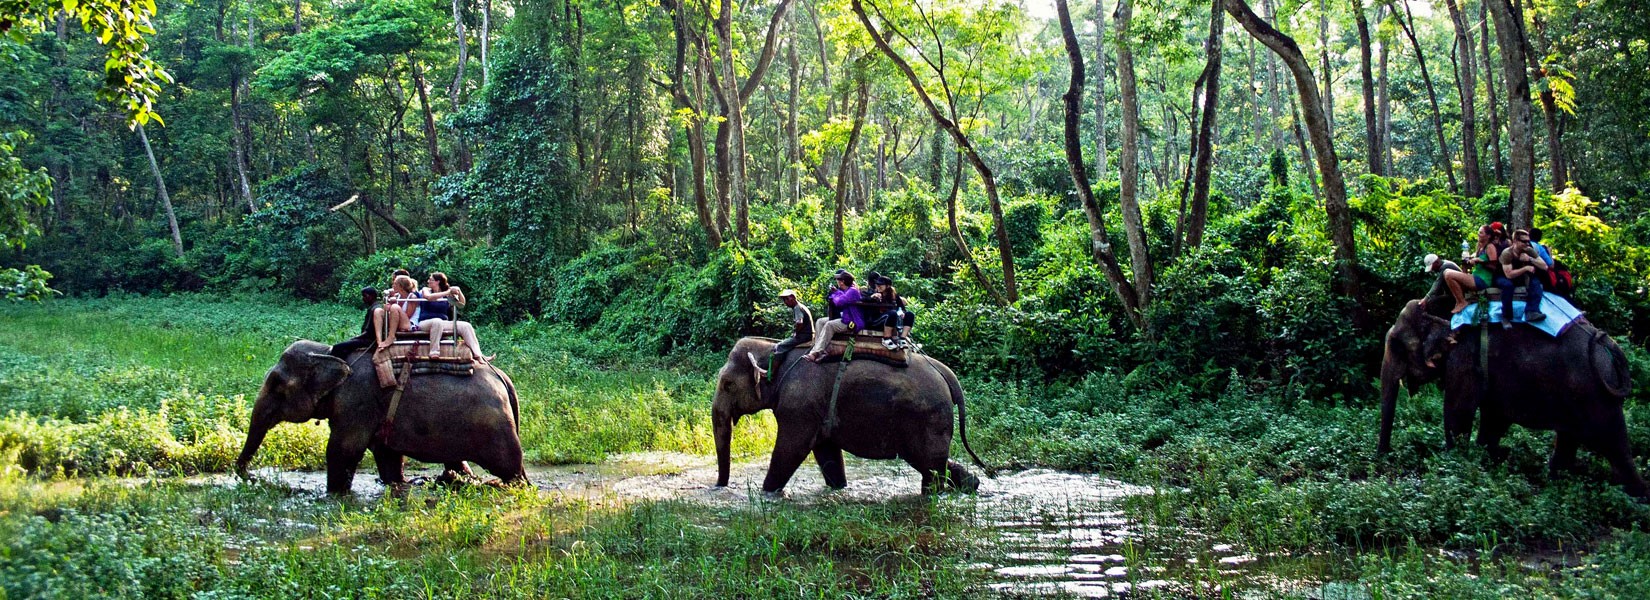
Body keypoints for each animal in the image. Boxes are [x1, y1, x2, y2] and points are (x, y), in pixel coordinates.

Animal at [232, 339, 524, 494]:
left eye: (277, 384)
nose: (250, 476)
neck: (328, 353)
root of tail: (503, 377)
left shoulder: (357, 401)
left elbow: (343, 450)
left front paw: (335, 494)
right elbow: (387, 456)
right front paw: (397, 485)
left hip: (495, 428)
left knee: (510, 469)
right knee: (457, 463)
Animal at [712, 334, 990, 494]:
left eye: (727, 384)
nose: (719, 486)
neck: (774, 349)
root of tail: (947, 374)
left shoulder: (799, 405)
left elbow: (792, 448)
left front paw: (767, 493)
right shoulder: (815, 409)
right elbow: (825, 450)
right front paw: (838, 488)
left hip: (927, 417)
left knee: (929, 466)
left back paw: (934, 494)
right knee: (933, 462)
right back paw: (972, 484)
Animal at [1372, 298, 1643, 497]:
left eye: (1396, 345)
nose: (1383, 458)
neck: (1445, 317)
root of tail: (1608, 343)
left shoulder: (1464, 361)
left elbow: (1458, 415)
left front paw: (1454, 466)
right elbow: (1493, 419)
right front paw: (1487, 463)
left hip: (1595, 395)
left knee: (1614, 444)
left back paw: (1635, 498)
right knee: (1569, 438)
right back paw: (1555, 483)